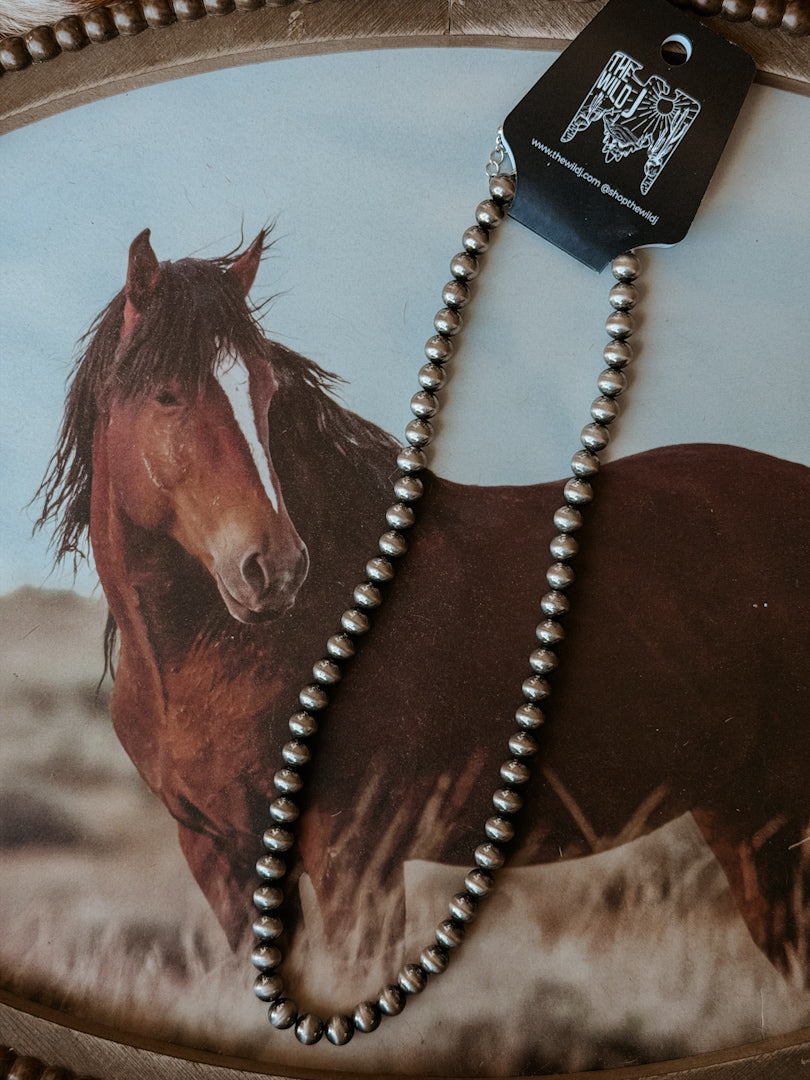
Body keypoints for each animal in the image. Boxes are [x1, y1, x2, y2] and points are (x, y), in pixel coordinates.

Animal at [37, 230, 810, 996]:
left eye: (265, 391)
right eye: (168, 394)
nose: (274, 567)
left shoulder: (357, 862)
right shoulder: (219, 856)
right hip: (745, 819)